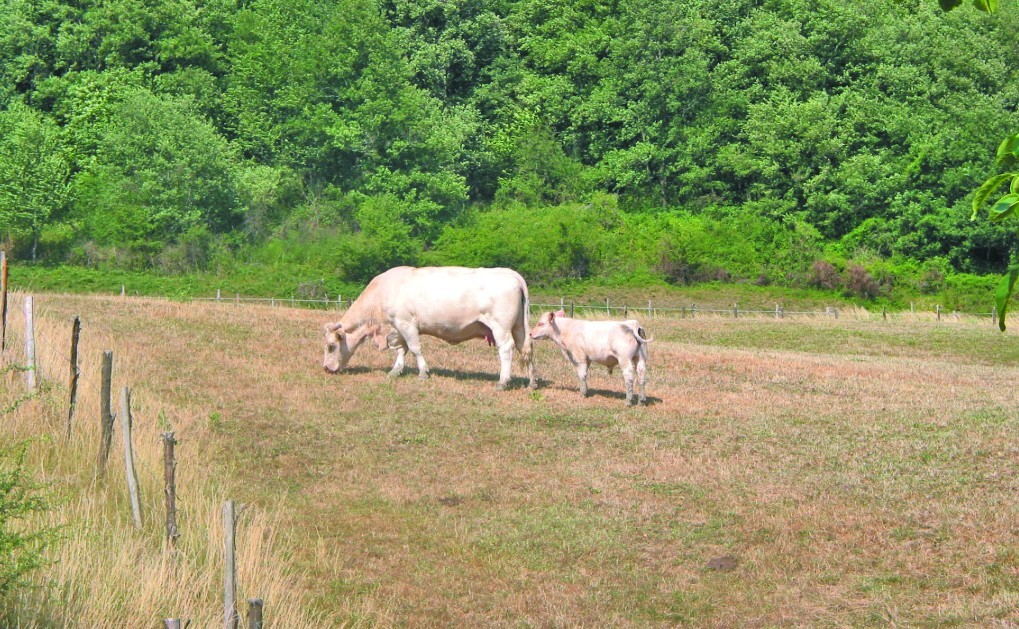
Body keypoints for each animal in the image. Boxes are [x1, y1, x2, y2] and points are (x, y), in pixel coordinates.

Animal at [324, 265, 533, 387]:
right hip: (519, 327)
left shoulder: (406, 323)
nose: (326, 368)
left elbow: (415, 348)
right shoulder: (397, 328)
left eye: (331, 346)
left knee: (506, 349)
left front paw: (423, 373)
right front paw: (395, 371)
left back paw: (503, 381)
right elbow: (401, 350)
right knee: (526, 347)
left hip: (500, 327)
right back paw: (533, 382)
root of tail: (511, 274)